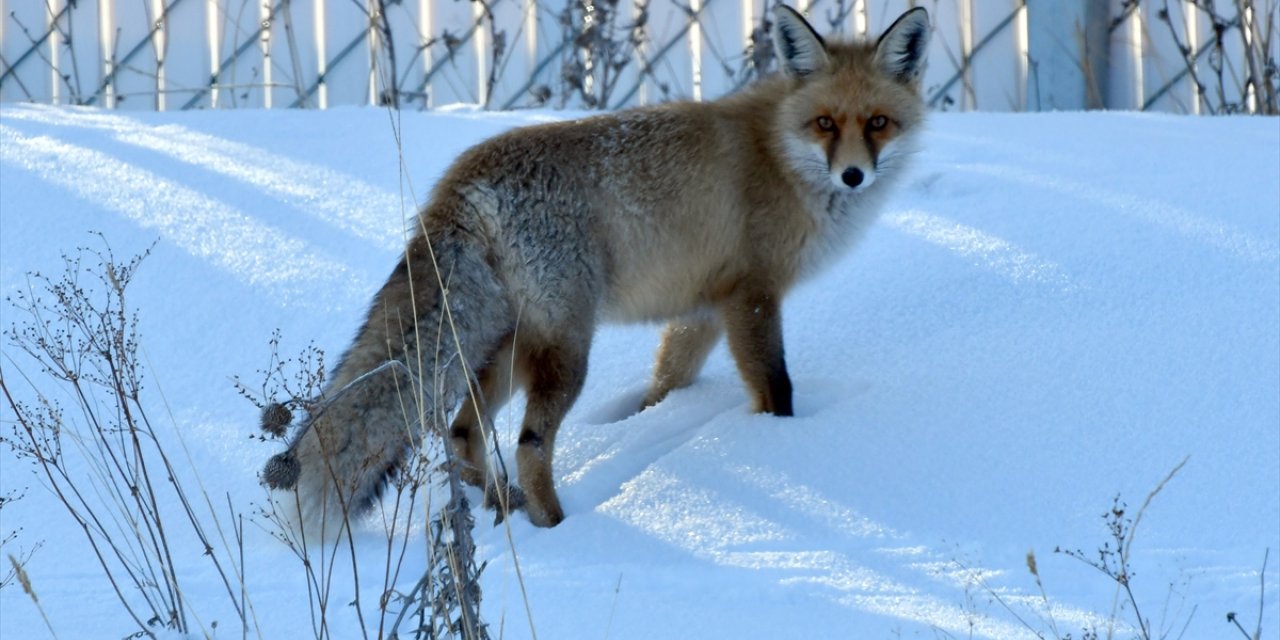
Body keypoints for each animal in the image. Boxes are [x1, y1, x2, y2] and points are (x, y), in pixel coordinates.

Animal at [264, 5, 936, 532]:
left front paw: (647, 421)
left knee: (461, 431)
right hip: (566, 346)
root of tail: (461, 180)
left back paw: (500, 506)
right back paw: (559, 527)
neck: (778, 153)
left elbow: (665, 384)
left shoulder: (703, 309)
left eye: (878, 123)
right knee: (528, 444)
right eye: (825, 124)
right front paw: (783, 443)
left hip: (509, 344)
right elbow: (777, 388)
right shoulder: (753, 295)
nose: (854, 175)